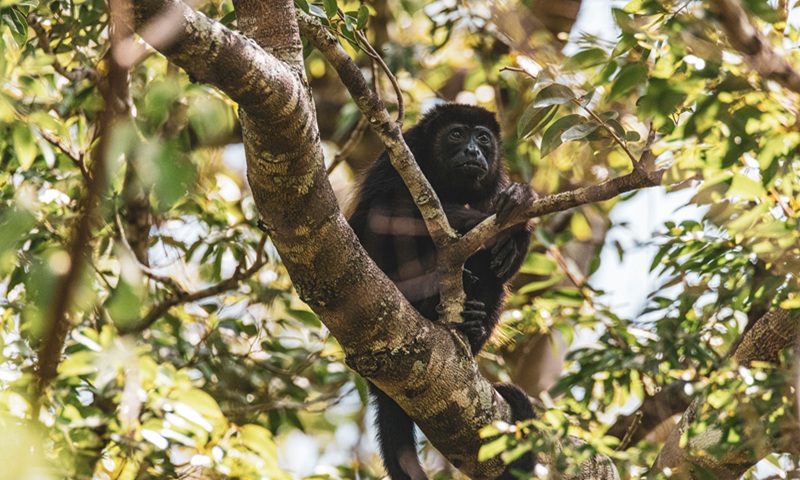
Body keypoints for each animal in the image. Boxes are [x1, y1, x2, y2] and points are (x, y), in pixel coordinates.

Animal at [347, 103, 536, 480]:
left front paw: (519, 218)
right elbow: (378, 214)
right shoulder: (399, 155)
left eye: (483, 138)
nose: (473, 152)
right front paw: (483, 218)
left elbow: (506, 263)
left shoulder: (495, 179)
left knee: (495, 280)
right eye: (456, 134)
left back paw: (474, 323)